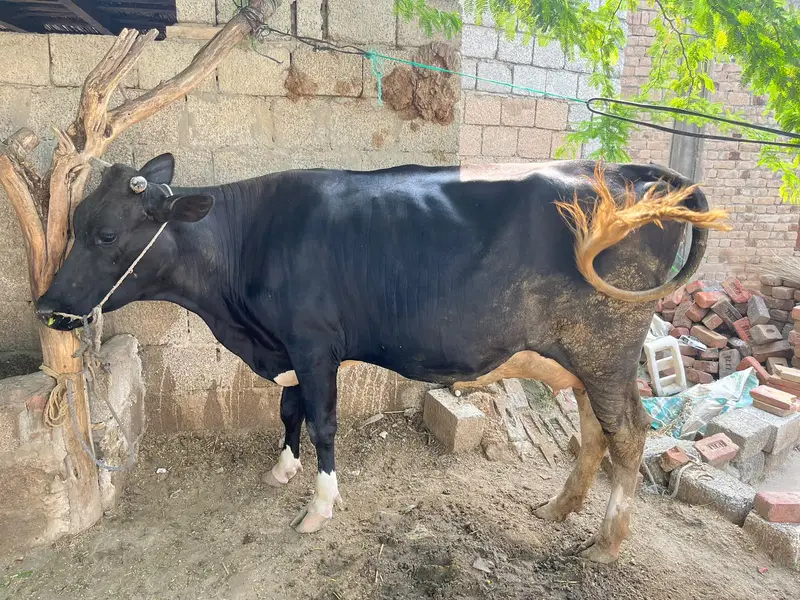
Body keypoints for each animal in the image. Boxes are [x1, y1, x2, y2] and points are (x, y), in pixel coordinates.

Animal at [35, 154, 728, 563]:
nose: (45, 306)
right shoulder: (289, 346)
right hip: (579, 357)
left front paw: (319, 506)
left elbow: (322, 422)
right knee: (594, 430)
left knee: (629, 433)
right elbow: (288, 411)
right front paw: (282, 470)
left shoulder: (314, 343)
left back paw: (605, 544)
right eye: (74, 223)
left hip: (605, 349)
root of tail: (640, 176)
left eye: (105, 233)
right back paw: (558, 509)